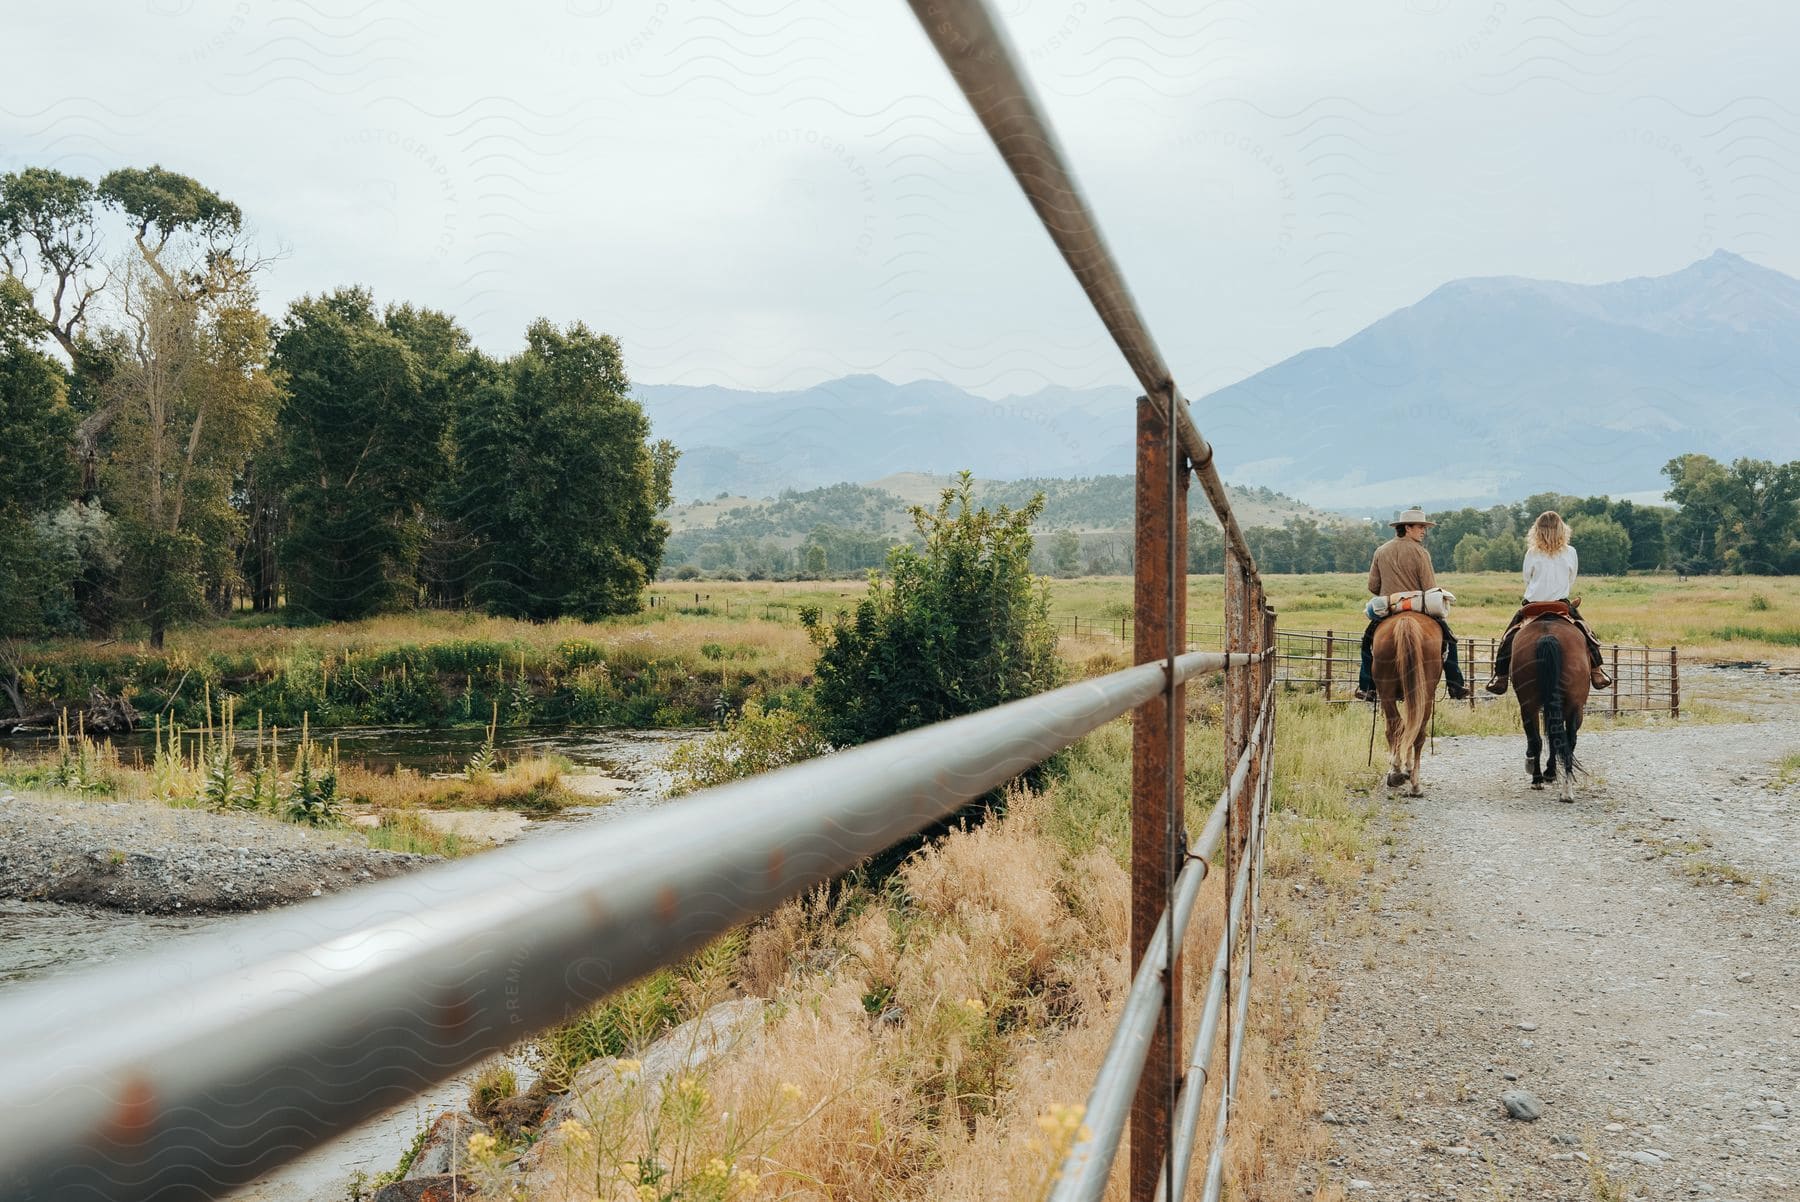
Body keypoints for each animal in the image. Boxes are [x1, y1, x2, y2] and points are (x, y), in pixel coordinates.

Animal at [1368, 611, 1440, 798]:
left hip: (1386, 691)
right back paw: (1415, 784)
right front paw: (1407, 768)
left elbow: (1393, 730)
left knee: (1397, 726)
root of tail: (1406, 620)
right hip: (1424, 693)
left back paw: (1396, 772)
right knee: (1418, 732)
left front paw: (1399, 767)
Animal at [1504, 615, 1591, 802]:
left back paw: (1540, 779)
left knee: (1540, 739)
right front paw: (1550, 772)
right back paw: (1563, 789)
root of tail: (1548, 636)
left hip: (1529, 704)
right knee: (1566, 739)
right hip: (1573, 705)